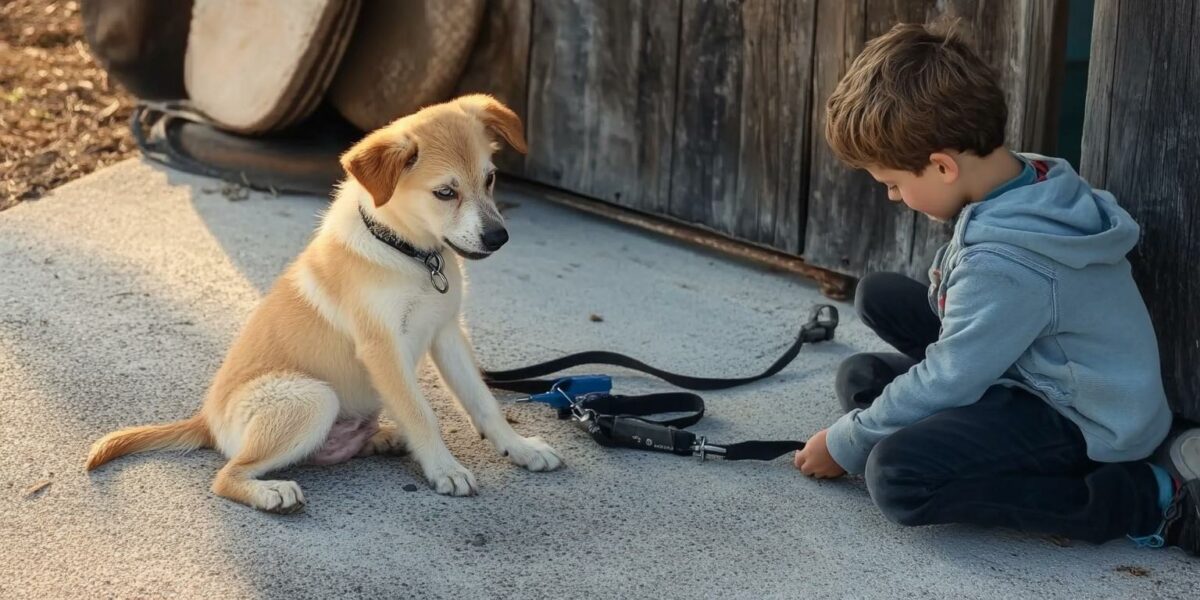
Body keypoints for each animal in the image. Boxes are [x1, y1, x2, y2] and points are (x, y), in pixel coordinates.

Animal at [87, 96, 564, 513]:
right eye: (445, 193)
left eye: (490, 179)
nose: (498, 238)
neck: (408, 254)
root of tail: (207, 420)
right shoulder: (382, 348)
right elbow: (420, 412)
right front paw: (444, 467)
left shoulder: (447, 333)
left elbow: (483, 402)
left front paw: (520, 449)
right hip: (311, 398)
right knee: (225, 476)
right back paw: (272, 493)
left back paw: (381, 438)